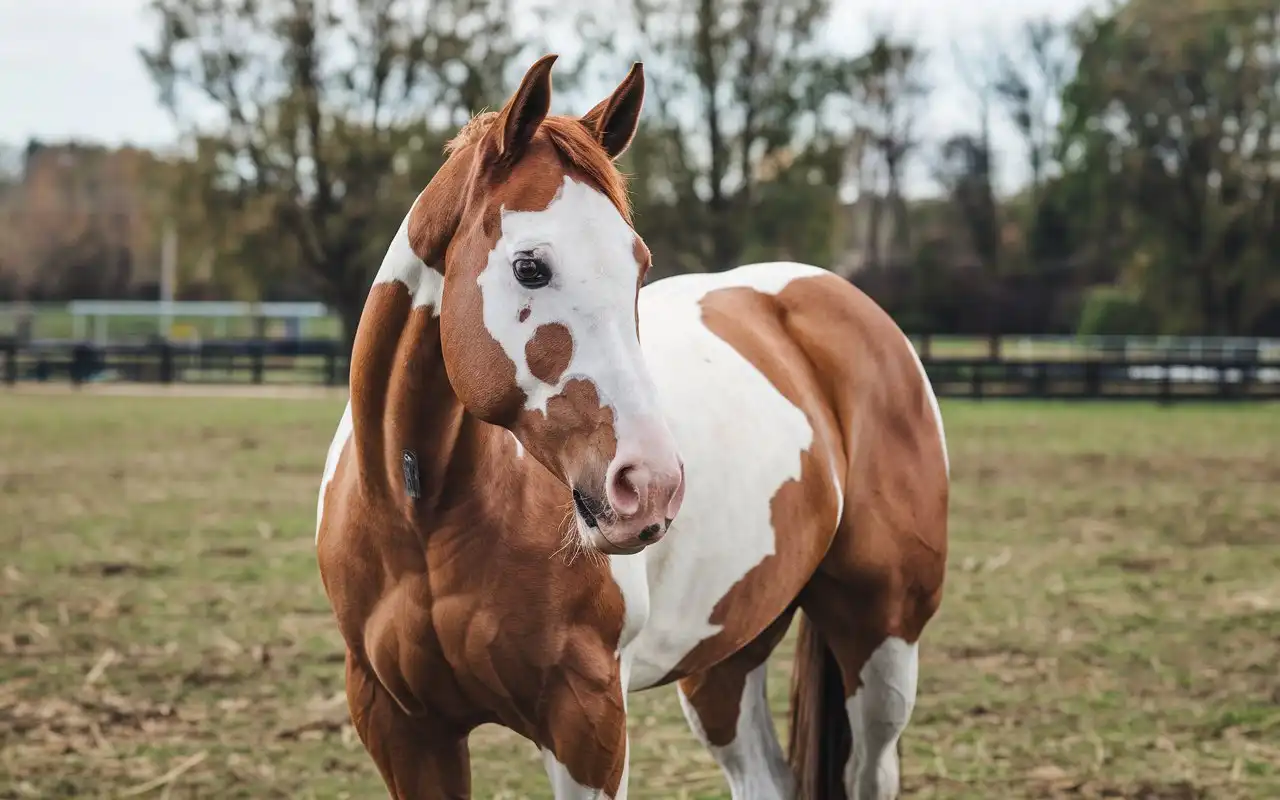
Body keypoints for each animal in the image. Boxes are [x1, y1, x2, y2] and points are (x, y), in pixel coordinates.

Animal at [313, 54, 947, 798]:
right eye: (530, 265)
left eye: (638, 265)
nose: (652, 486)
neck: (423, 519)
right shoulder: (402, 728)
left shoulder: (585, 721)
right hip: (725, 656)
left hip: (883, 641)